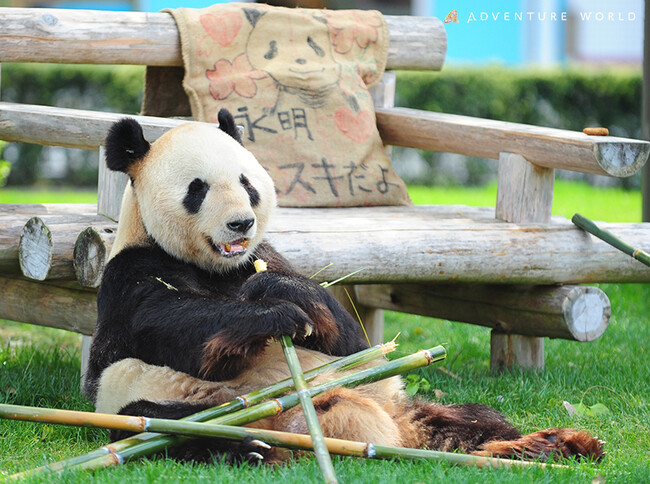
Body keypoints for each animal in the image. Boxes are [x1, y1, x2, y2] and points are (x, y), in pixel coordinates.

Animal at [83, 108, 604, 464]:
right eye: (198, 189)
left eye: (247, 183)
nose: (240, 223)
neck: (218, 269)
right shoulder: (131, 271)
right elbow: (167, 324)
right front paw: (270, 314)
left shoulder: (265, 254)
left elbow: (351, 340)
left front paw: (283, 295)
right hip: (167, 402)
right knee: (163, 431)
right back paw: (247, 448)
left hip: (399, 401)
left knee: (476, 419)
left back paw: (555, 445)